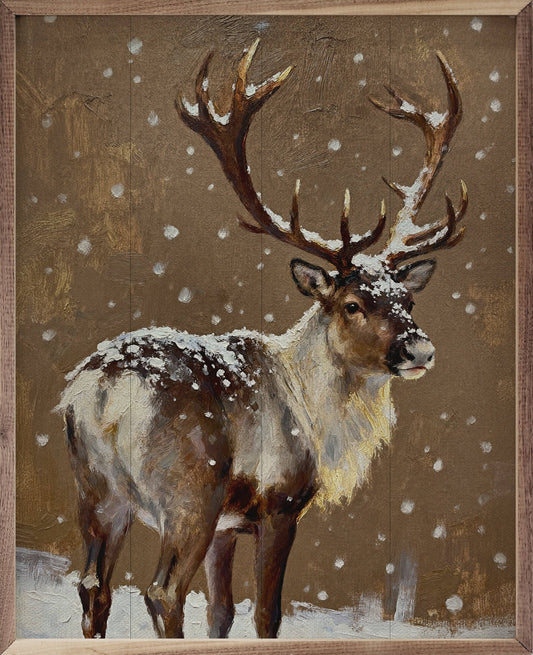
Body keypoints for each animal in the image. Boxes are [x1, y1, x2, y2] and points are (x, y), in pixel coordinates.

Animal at [57, 39, 467, 640]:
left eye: (407, 300)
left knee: (93, 586)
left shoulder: (230, 524)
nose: (420, 350)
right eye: (352, 304)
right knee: (162, 591)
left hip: (97, 489)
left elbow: (222, 612)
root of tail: (103, 392)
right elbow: (267, 613)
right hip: (189, 493)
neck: (318, 416)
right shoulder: (279, 505)